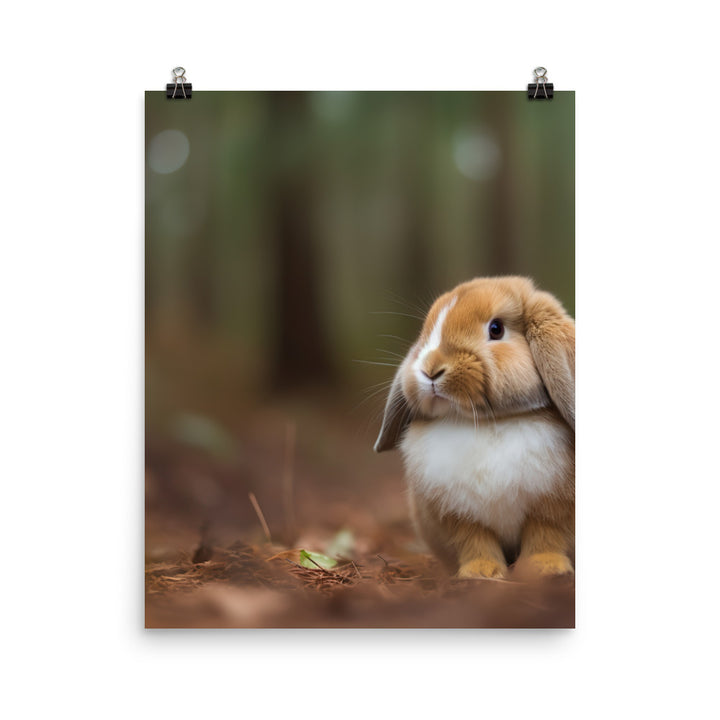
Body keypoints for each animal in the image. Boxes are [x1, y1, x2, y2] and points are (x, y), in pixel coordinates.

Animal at [374, 277, 574, 579]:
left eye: (496, 329)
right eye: (428, 334)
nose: (431, 370)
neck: (487, 421)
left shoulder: (552, 507)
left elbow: (545, 535)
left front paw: (544, 569)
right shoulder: (459, 515)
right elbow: (475, 542)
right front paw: (481, 574)